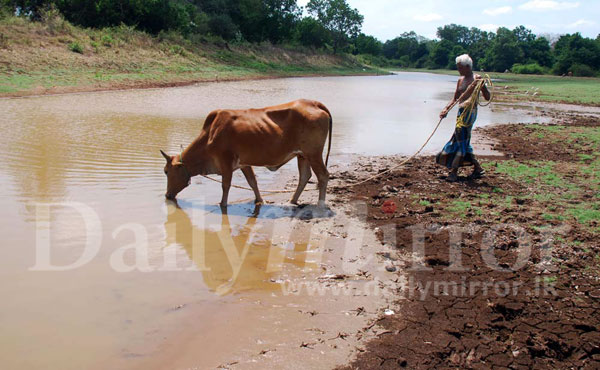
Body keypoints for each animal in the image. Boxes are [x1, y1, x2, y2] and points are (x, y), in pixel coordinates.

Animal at [161, 98, 332, 208]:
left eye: (166, 171)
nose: (167, 195)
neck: (210, 134)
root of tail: (314, 103)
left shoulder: (225, 161)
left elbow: (226, 185)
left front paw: (222, 204)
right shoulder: (244, 163)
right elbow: (252, 182)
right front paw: (259, 200)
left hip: (314, 154)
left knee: (323, 175)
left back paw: (320, 204)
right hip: (302, 155)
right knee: (305, 176)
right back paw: (292, 201)